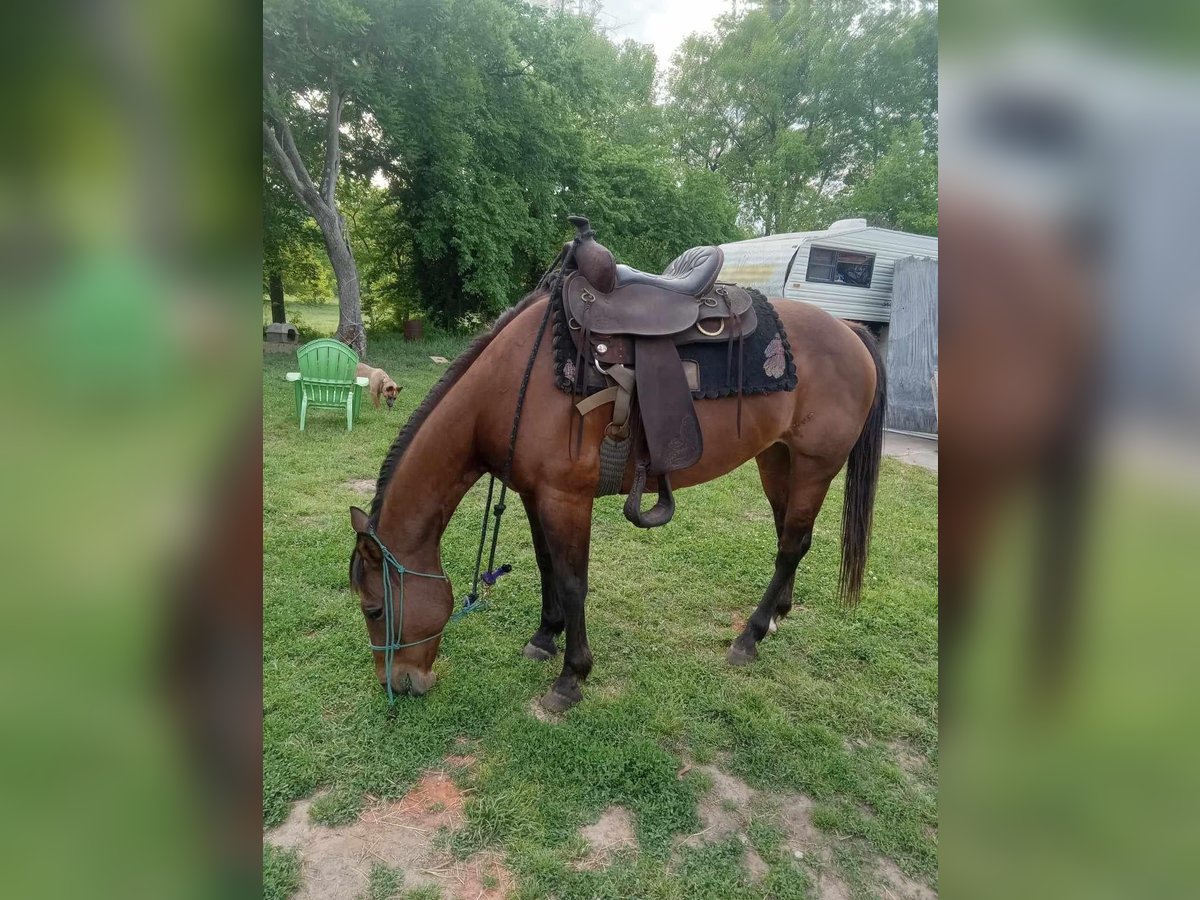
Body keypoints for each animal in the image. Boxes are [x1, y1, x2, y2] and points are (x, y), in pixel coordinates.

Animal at [348, 289, 883, 710]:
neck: (508, 384)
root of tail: (850, 329)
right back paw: (774, 617)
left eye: (374, 610)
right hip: (777, 458)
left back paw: (748, 636)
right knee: (788, 535)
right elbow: (547, 567)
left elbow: (573, 583)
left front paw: (571, 677)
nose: (398, 684)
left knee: (792, 544)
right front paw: (545, 636)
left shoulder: (566, 499)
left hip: (815, 465)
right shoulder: (535, 495)